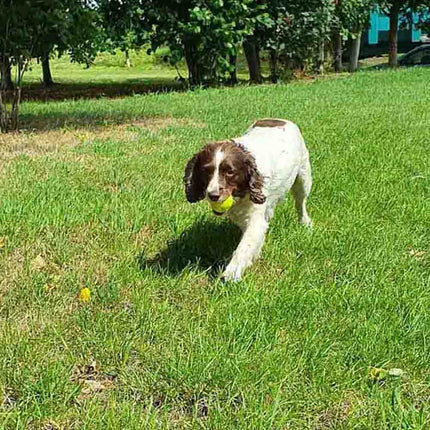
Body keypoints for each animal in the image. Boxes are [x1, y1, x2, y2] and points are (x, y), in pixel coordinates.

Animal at [183, 117, 310, 280]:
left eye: (230, 172)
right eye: (206, 170)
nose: (213, 195)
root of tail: (280, 119)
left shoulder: (255, 217)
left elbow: (245, 245)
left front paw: (231, 273)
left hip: (303, 178)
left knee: (301, 202)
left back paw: (305, 222)